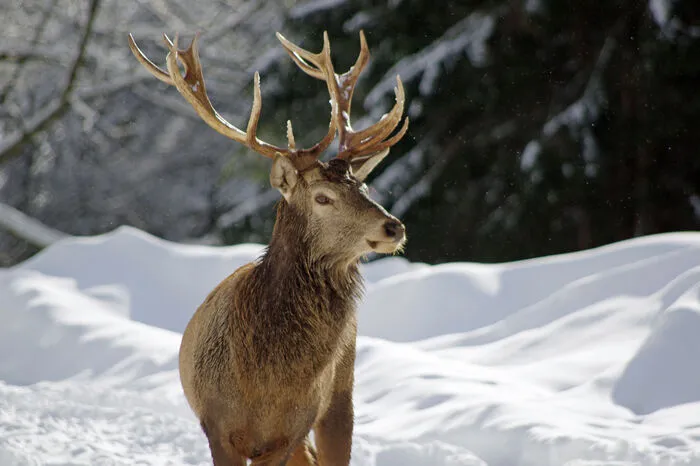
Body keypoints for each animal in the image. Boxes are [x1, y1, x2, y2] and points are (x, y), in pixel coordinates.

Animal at [128, 29, 408, 466]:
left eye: (363, 188)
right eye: (323, 197)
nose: (393, 226)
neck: (264, 382)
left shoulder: (287, 434)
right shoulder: (218, 427)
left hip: (339, 398)